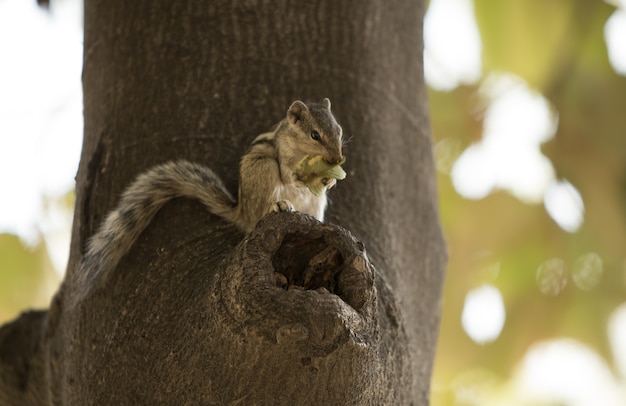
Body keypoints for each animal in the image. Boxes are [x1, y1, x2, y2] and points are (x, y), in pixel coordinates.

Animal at [80, 97, 344, 288]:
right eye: (314, 135)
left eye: (339, 131)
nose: (337, 158)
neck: (303, 153)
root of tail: (242, 212)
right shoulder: (281, 154)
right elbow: (289, 175)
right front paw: (301, 180)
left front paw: (331, 180)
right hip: (263, 168)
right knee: (259, 214)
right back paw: (277, 206)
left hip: (316, 202)